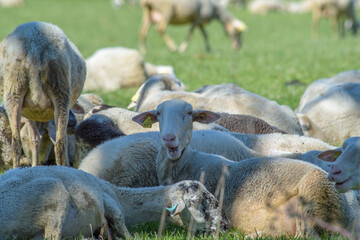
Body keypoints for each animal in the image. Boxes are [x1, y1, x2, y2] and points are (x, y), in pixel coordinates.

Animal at [0, 21, 86, 168]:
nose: (73, 124)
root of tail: (34, 47)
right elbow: (37, 138)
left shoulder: (28, 111)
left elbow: (34, 138)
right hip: (61, 89)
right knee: (60, 143)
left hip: (14, 90)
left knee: (16, 144)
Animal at [0, 165, 228, 240]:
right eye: (196, 201)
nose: (225, 226)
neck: (120, 195)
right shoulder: (110, 203)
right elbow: (122, 228)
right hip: (53, 193)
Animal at [133, 98, 354, 237]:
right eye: (158, 114)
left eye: (189, 113)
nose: (169, 139)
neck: (186, 162)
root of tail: (348, 216)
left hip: (312, 194)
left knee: (305, 235)